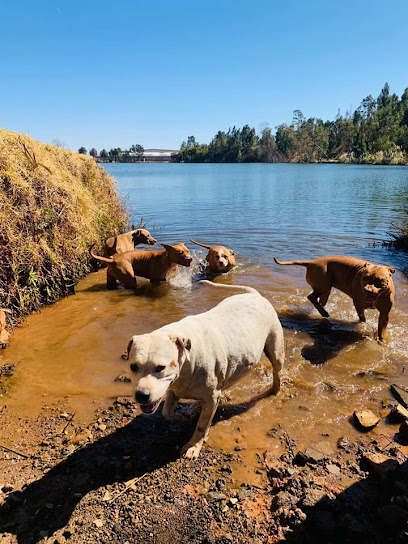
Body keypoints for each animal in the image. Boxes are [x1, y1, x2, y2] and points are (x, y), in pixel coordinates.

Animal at [123, 280, 284, 460]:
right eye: (133, 367)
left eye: (160, 368)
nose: (141, 395)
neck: (188, 360)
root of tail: (255, 295)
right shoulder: (174, 389)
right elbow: (166, 412)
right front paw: (183, 416)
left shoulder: (211, 397)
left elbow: (201, 425)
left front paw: (193, 446)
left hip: (275, 350)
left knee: (277, 371)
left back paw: (275, 390)